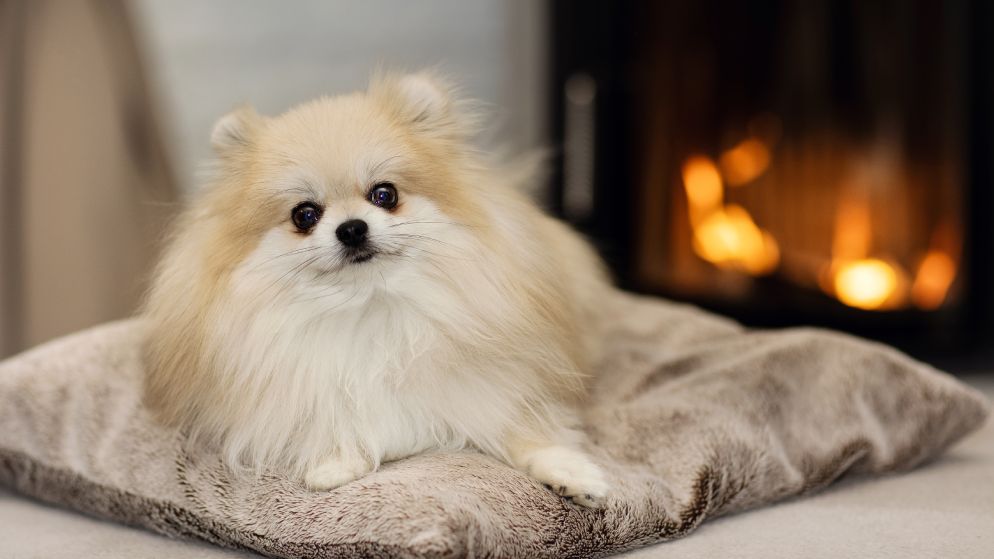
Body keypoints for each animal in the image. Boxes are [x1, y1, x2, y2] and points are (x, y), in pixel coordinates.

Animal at [144, 71, 612, 508]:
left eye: (384, 194)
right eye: (304, 215)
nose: (351, 228)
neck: (371, 308)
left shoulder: (493, 385)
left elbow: (523, 430)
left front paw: (572, 473)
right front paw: (336, 462)